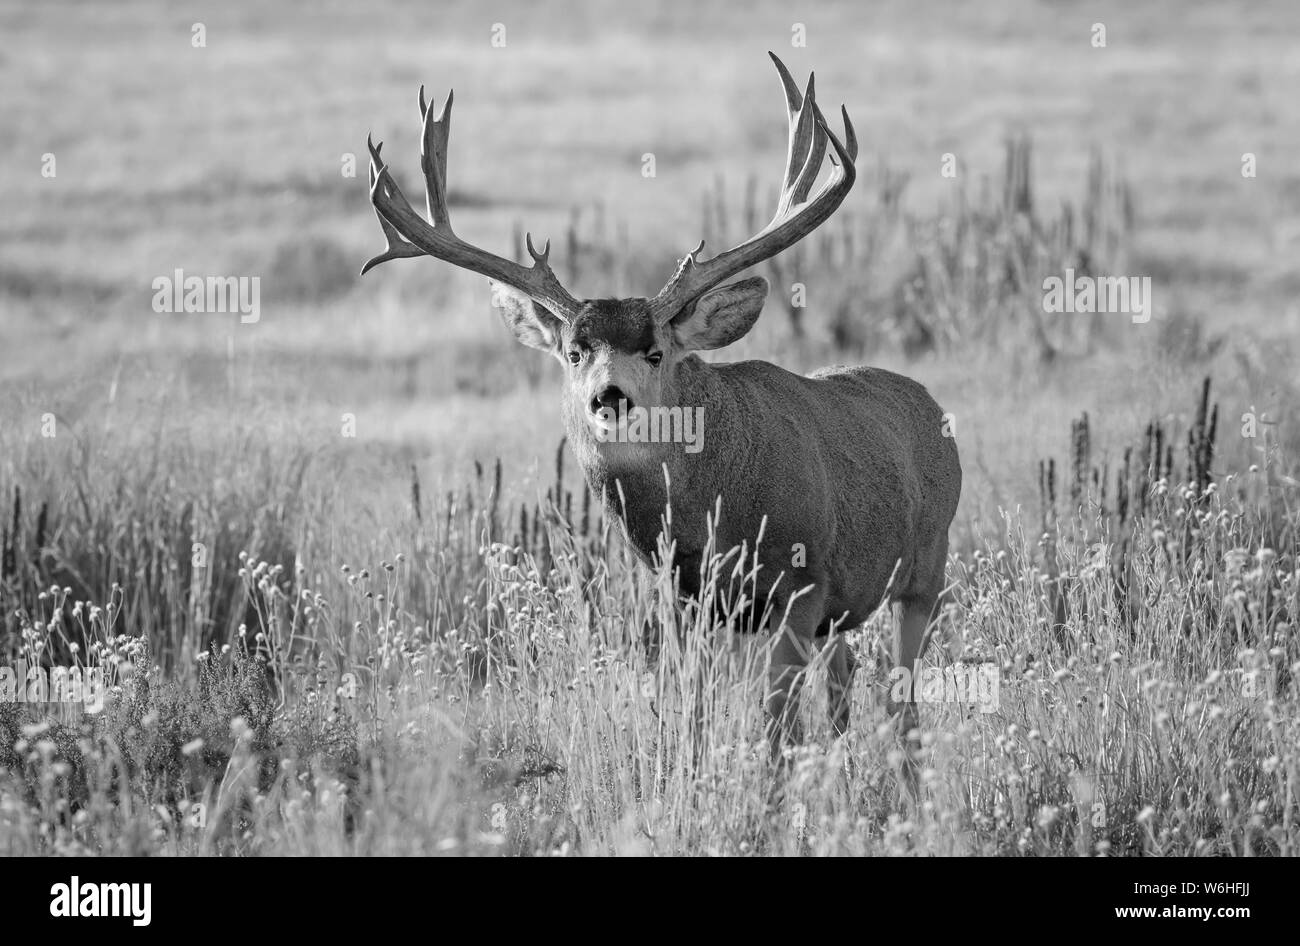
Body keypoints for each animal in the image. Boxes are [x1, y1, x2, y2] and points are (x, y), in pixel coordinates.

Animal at [361, 53, 961, 758]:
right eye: (573, 352)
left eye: (654, 352)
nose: (608, 397)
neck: (716, 513)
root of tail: (933, 408)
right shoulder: (680, 601)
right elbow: (691, 715)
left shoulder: (800, 588)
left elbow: (776, 730)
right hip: (845, 611)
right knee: (847, 683)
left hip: (925, 569)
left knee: (903, 701)